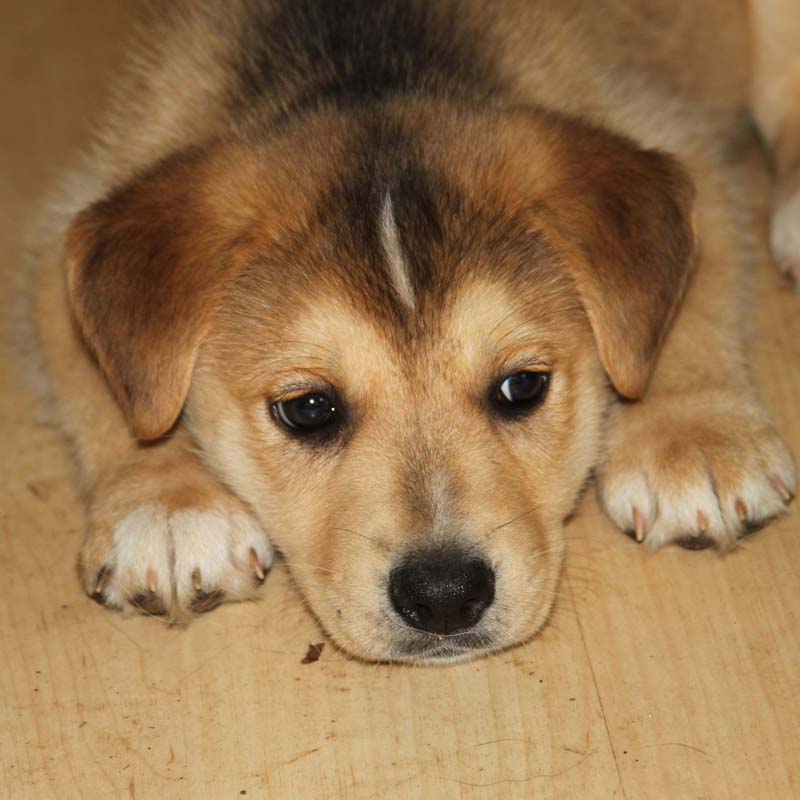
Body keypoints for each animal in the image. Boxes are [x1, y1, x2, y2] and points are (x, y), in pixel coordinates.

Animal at [25, 0, 799, 663]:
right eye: (308, 409)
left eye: (523, 387)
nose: (446, 596)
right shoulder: (66, 229)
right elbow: (105, 375)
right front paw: (164, 503)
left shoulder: (678, 139)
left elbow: (694, 291)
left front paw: (693, 434)